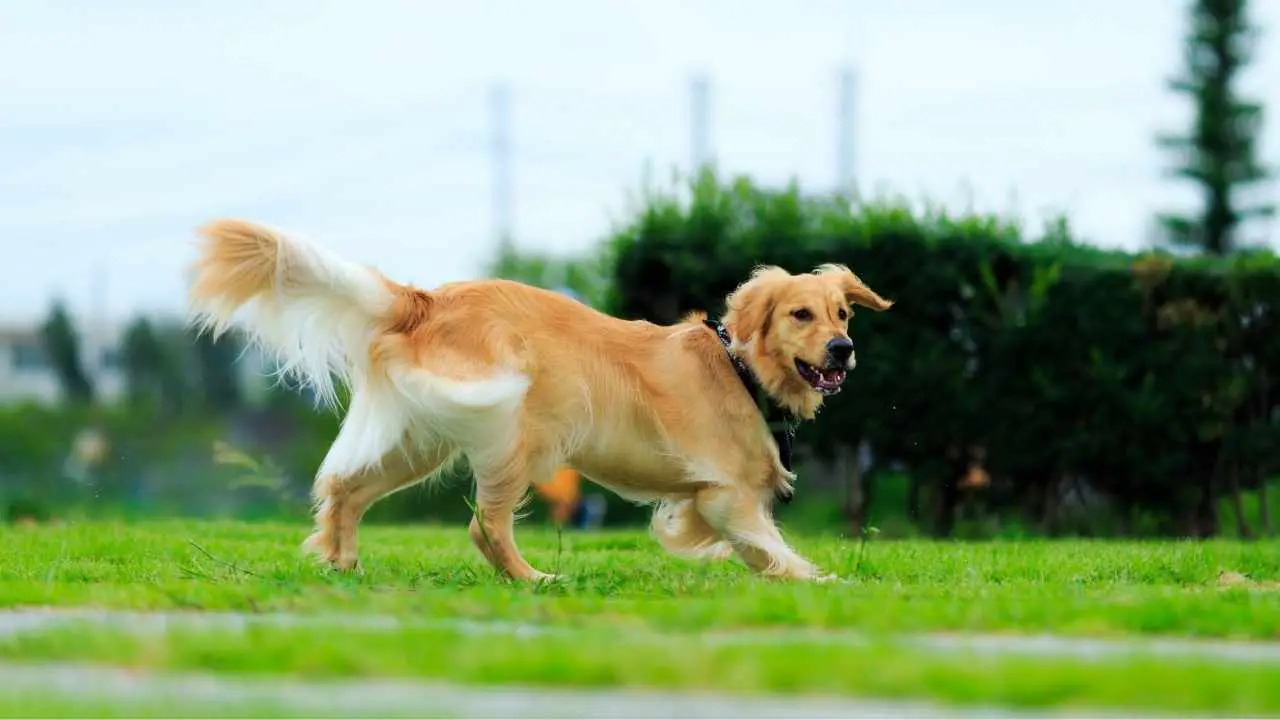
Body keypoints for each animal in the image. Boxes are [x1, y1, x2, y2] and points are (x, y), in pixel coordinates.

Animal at [186, 217, 890, 576]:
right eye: (800, 315)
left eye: (842, 314)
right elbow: (773, 548)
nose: (843, 350)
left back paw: (342, 560)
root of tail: (428, 300)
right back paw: (533, 578)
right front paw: (819, 580)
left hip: (423, 440)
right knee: (484, 525)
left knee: (345, 490)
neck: (739, 368)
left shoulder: (715, 498)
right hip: (511, 434)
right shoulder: (725, 496)